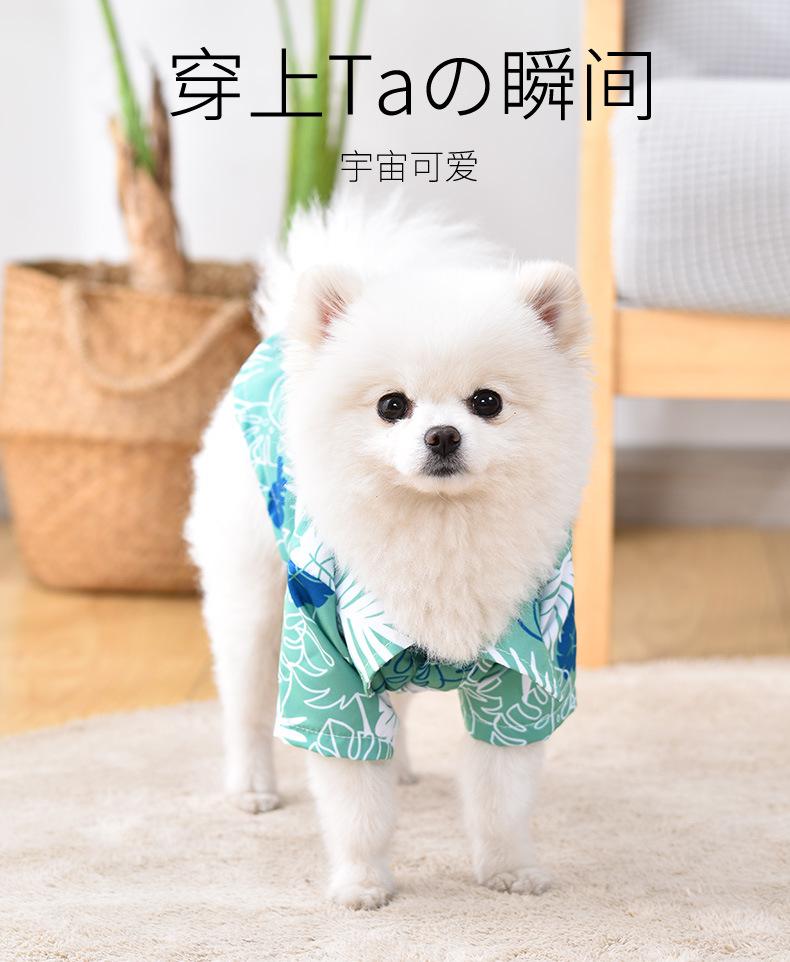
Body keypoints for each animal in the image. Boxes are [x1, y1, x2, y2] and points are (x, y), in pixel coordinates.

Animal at [186, 196, 593, 910]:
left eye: (487, 401)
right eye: (391, 405)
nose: (442, 434)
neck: (439, 532)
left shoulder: (526, 674)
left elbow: (501, 799)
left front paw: (509, 869)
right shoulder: (330, 673)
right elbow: (356, 805)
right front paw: (363, 883)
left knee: (394, 708)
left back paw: (399, 764)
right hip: (255, 600)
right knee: (245, 703)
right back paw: (252, 787)